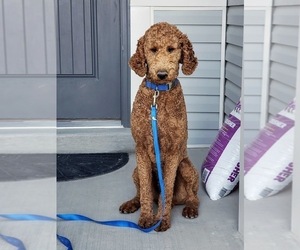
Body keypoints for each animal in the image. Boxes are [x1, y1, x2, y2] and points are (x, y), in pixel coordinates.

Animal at [119, 22, 199, 231]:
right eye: (152, 49)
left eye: (172, 49)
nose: (162, 74)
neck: (158, 93)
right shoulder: (140, 148)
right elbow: (146, 191)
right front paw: (147, 217)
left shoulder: (173, 152)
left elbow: (167, 189)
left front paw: (161, 220)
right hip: (136, 171)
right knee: (140, 192)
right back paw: (131, 203)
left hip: (186, 167)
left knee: (193, 195)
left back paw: (190, 208)